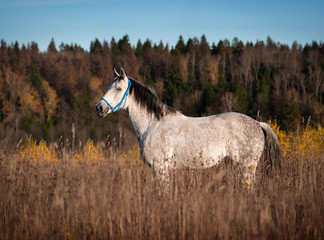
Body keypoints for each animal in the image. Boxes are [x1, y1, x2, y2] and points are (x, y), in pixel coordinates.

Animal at [94, 68, 280, 185]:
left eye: (119, 88)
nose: (99, 108)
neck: (152, 125)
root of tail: (258, 124)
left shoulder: (160, 169)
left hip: (247, 167)